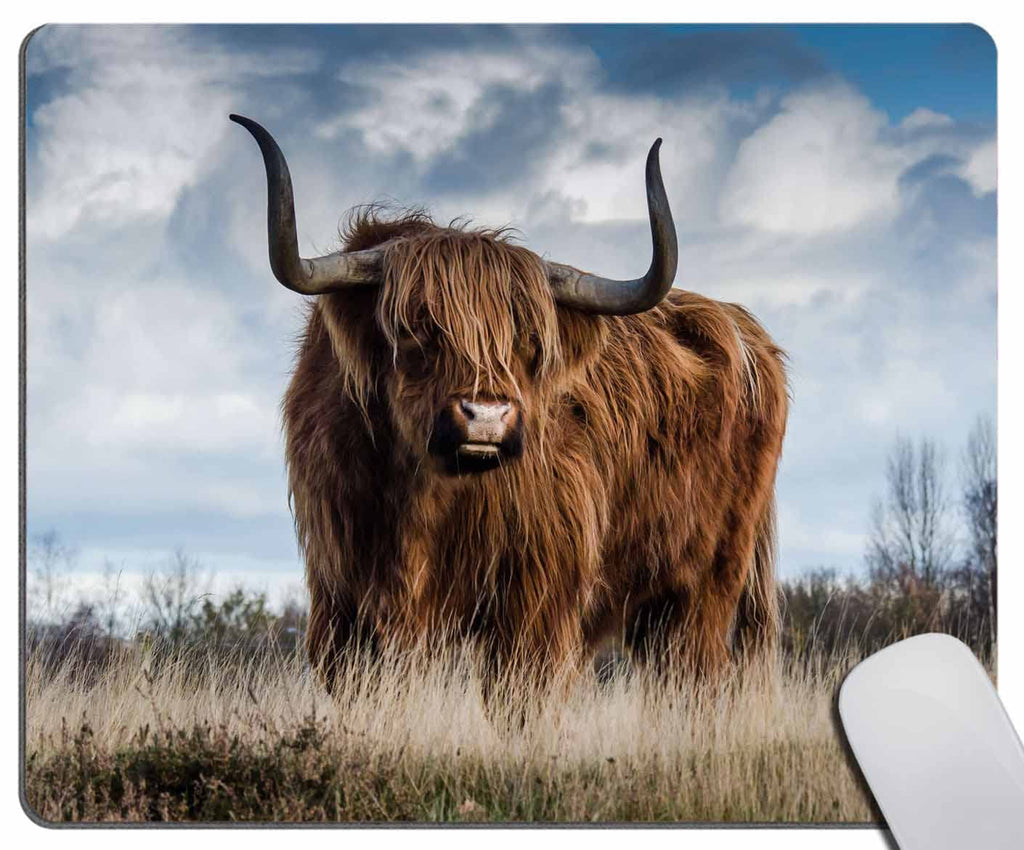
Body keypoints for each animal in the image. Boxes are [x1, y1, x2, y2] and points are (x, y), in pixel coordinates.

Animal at [231, 114, 788, 693]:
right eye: (416, 328)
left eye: (529, 340)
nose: (487, 417)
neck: (422, 499)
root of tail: (745, 329)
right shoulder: (342, 598)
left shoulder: (535, 600)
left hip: (704, 587)